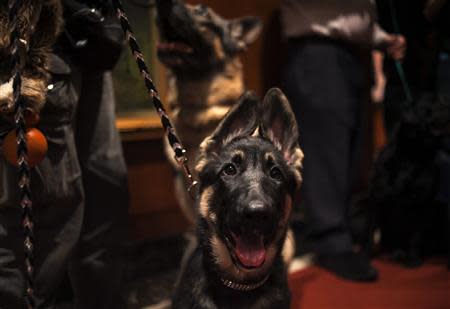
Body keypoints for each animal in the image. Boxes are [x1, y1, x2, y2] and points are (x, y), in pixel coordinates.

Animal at [366, 94, 450, 264]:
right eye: (433, 105)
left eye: (443, 101)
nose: (449, 105)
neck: (412, 155)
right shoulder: (377, 198)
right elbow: (370, 234)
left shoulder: (422, 202)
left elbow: (416, 235)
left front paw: (413, 259)